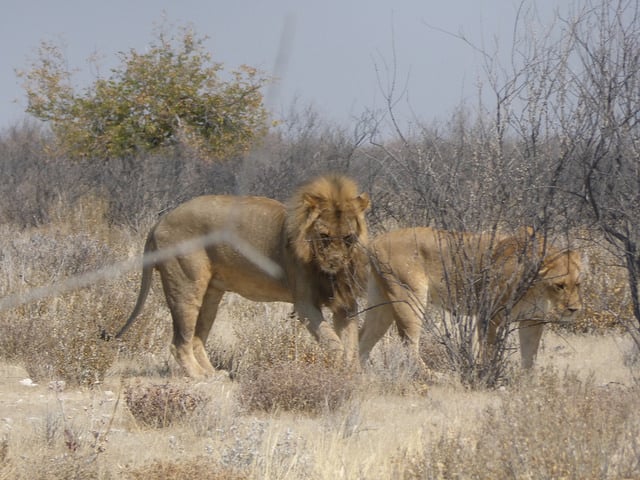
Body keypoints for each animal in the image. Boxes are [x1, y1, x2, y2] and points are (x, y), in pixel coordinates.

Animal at [115, 174, 370, 378]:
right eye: (324, 236)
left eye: (348, 237)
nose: (334, 263)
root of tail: (160, 222)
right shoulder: (305, 303)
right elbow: (334, 344)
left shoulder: (346, 303)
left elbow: (351, 344)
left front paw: (354, 377)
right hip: (185, 287)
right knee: (179, 342)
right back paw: (199, 377)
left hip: (211, 295)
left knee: (197, 339)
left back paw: (214, 373)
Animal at [358, 227, 582, 370]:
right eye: (559, 286)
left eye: (577, 284)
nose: (574, 309)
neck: (536, 289)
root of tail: (375, 241)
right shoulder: (489, 315)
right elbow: (490, 351)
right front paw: (488, 376)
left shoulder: (532, 320)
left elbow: (530, 356)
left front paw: (528, 387)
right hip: (410, 297)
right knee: (409, 343)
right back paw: (435, 376)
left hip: (382, 304)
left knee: (363, 338)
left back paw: (358, 377)